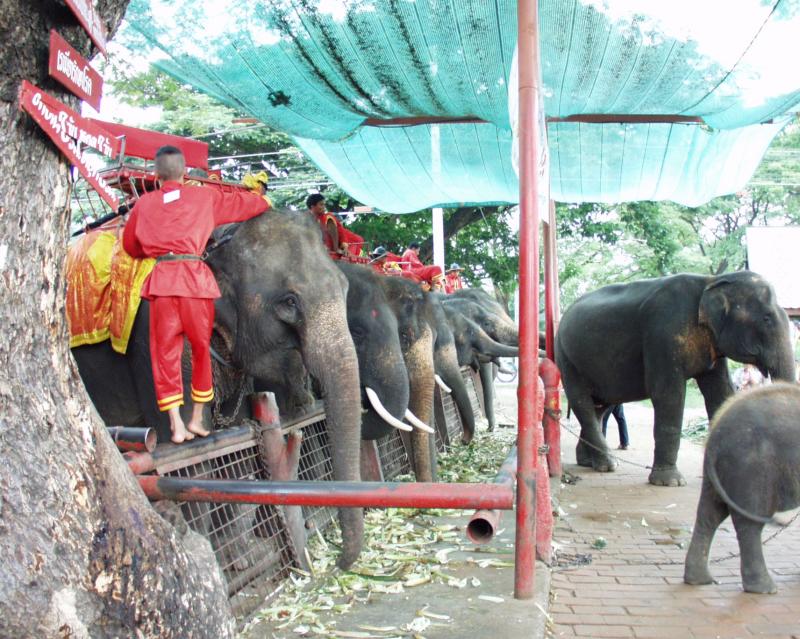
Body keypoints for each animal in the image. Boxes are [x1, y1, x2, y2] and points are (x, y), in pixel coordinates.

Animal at [552, 268, 796, 484]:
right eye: (767, 319)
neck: (712, 280)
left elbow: (720, 394)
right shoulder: (663, 334)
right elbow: (669, 394)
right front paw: (669, 482)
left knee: (600, 407)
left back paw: (588, 462)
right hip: (566, 359)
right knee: (583, 403)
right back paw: (608, 465)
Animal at [680, 380, 800, 596]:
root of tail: (714, 436)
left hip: (720, 473)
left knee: (710, 514)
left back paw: (699, 580)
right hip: (752, 468)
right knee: (750, 522)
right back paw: (764, 589)